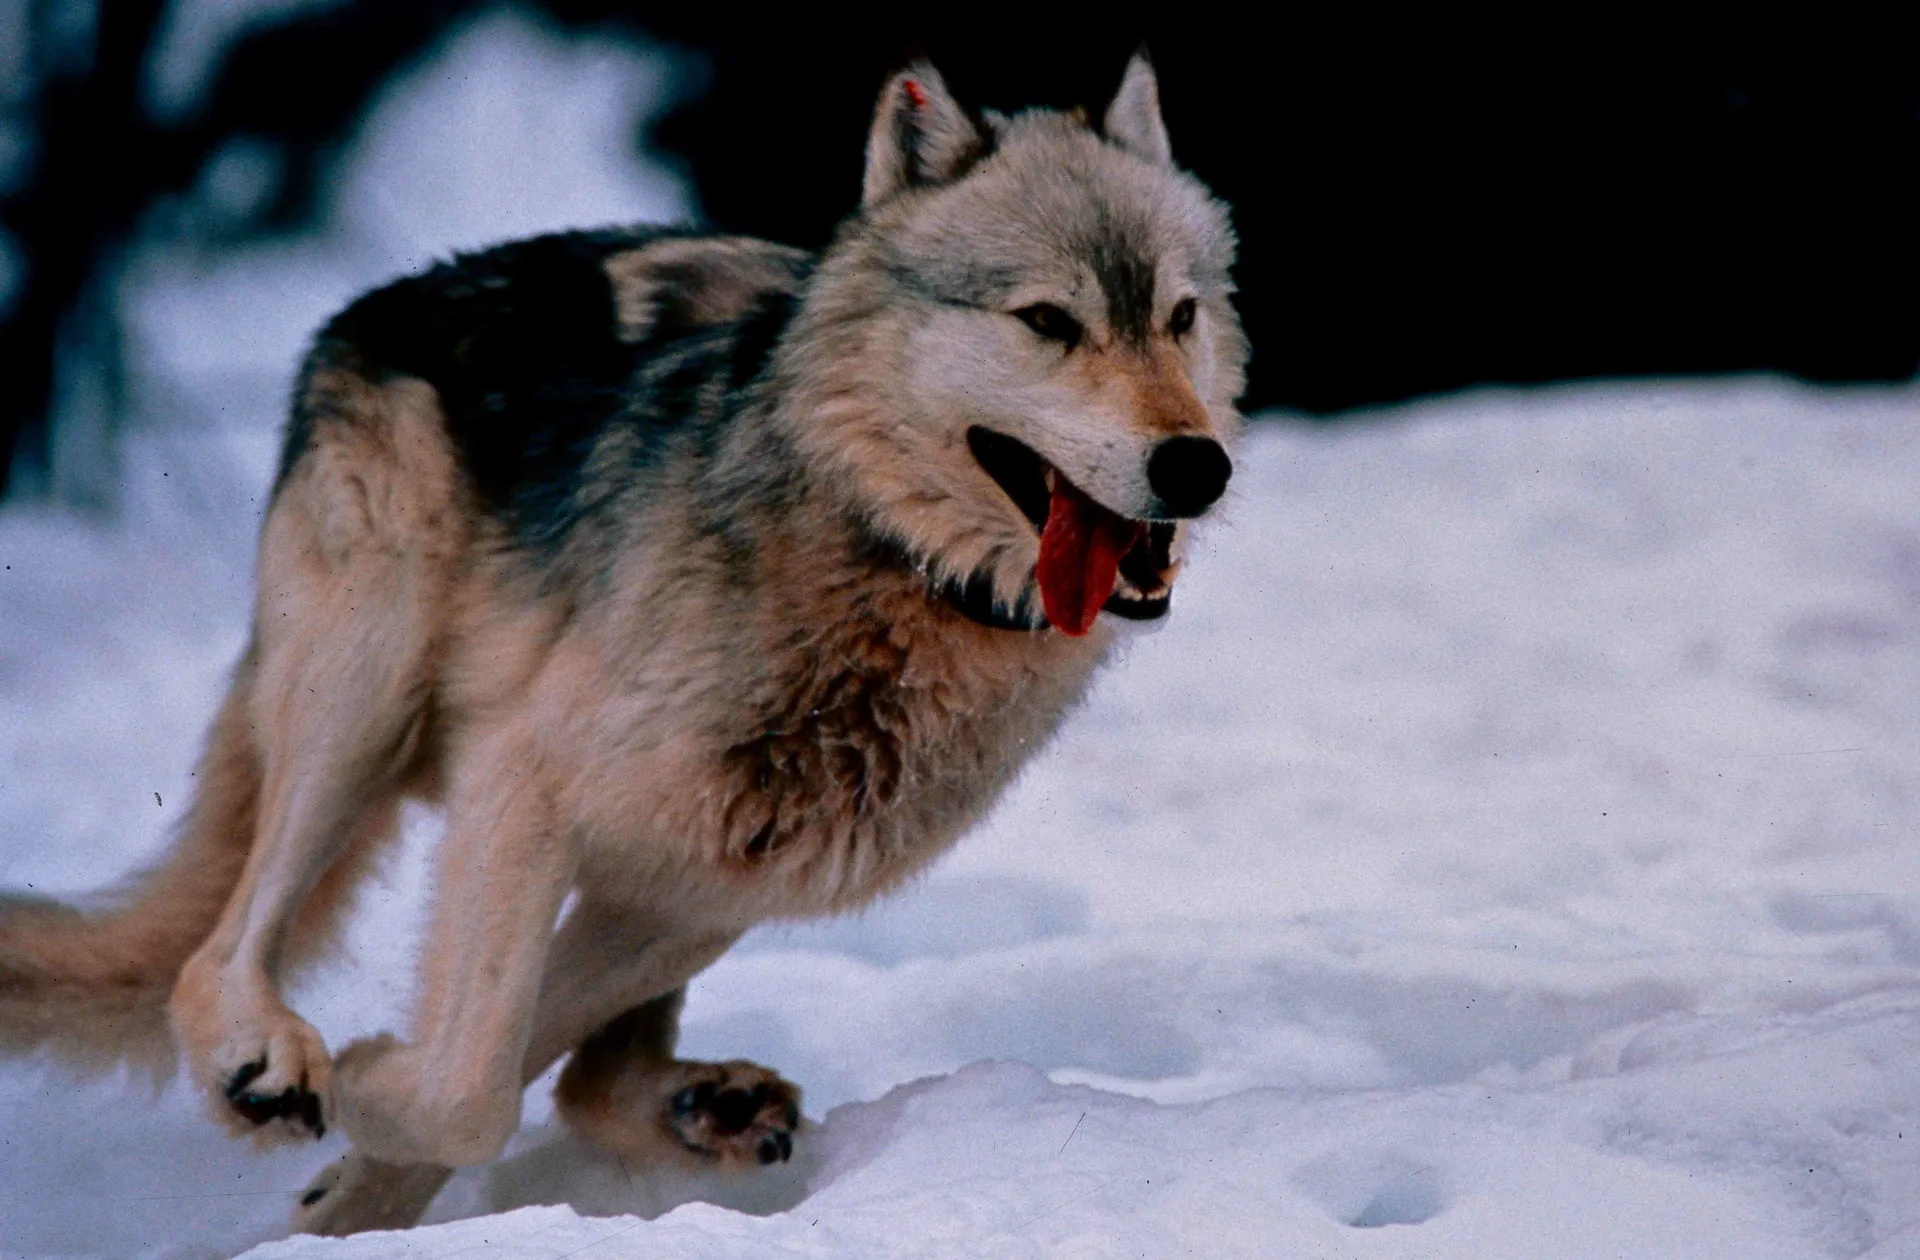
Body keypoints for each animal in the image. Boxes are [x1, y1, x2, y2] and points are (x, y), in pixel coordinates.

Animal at [0, 54, 1244, 1234]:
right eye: (1048, 322)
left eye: (1180, 317)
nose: (1198, 464)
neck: (883, 564)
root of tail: (371, 306)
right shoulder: (525, 785)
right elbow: (469, 1085)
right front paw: (358, 1086)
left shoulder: (692, 890)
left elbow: (500, 1068)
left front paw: (356, 1171)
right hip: (363, 704)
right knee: (218, 952)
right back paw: (262, 1063)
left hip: (670, 863)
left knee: (584, 1070)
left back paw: (701, 1108)